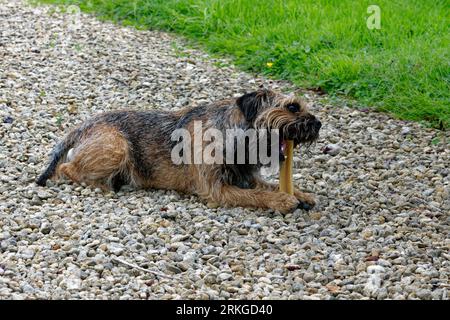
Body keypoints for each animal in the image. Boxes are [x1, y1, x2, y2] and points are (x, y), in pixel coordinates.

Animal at [37, 88, 322, 212]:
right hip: (116, 146)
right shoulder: (217, 189)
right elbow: (257, 195)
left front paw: (300, 193)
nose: (318, 123)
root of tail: (81, 127)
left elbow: (268, 185)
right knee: (67, 168)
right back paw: (102, 185)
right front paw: (282, 200)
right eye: (292, 107)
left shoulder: (247, 176)